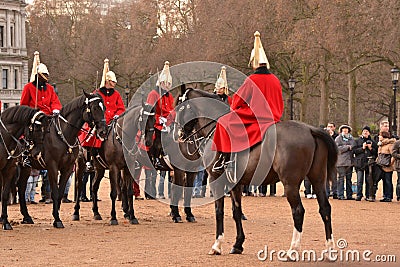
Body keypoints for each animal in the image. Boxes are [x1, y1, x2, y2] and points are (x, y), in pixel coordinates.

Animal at [18, 92, 108, 228]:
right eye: (95, 108)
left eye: (104, 108)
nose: (103, 131)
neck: (63, 134)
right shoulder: (52, 167)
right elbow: (55, 192)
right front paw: (57, 219)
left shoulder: (67, 168)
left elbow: (60, 193)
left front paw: (57, 216)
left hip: (26, 167)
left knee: (21, 188)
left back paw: (27, 217)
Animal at [175, 89, 338, 258]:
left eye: (180, 107)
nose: (179, 134)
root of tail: (310, 130)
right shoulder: (235, 184)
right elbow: (236, 211)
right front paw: (238, 245)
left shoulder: (216, 180)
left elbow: (219, 211)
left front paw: (217, 246)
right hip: (318, 180)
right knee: (325, 209)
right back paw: (329, 249)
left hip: (290, 184)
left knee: (298, 211)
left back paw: (293, 249)